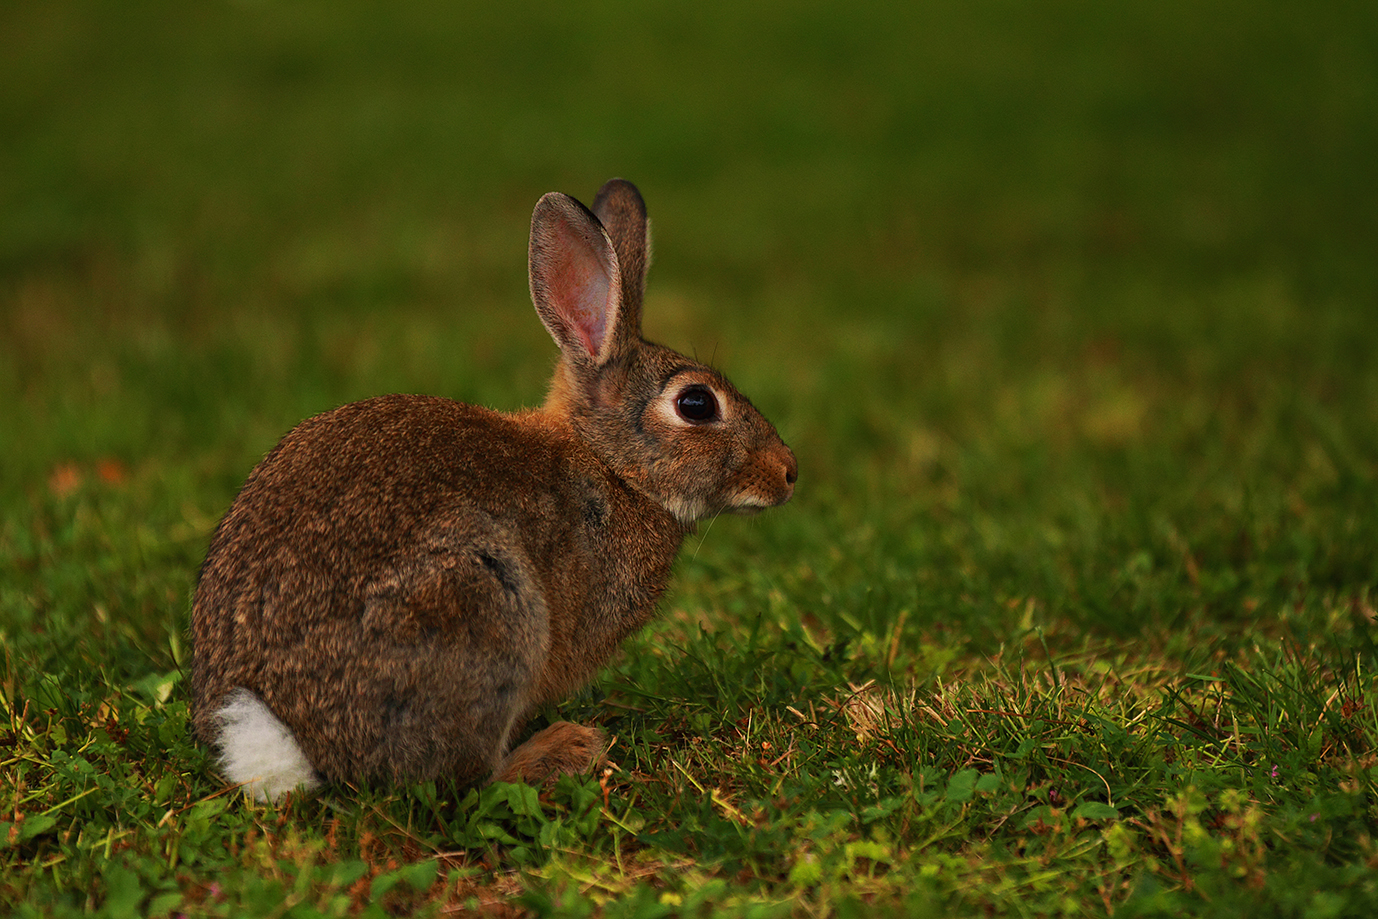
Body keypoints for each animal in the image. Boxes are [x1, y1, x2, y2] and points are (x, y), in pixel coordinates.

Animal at [192, 177, 799, 799]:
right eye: (696, 404)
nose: (788, 472)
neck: (610, 465)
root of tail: (285, 735)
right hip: (485, 607)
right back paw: (561, 748)